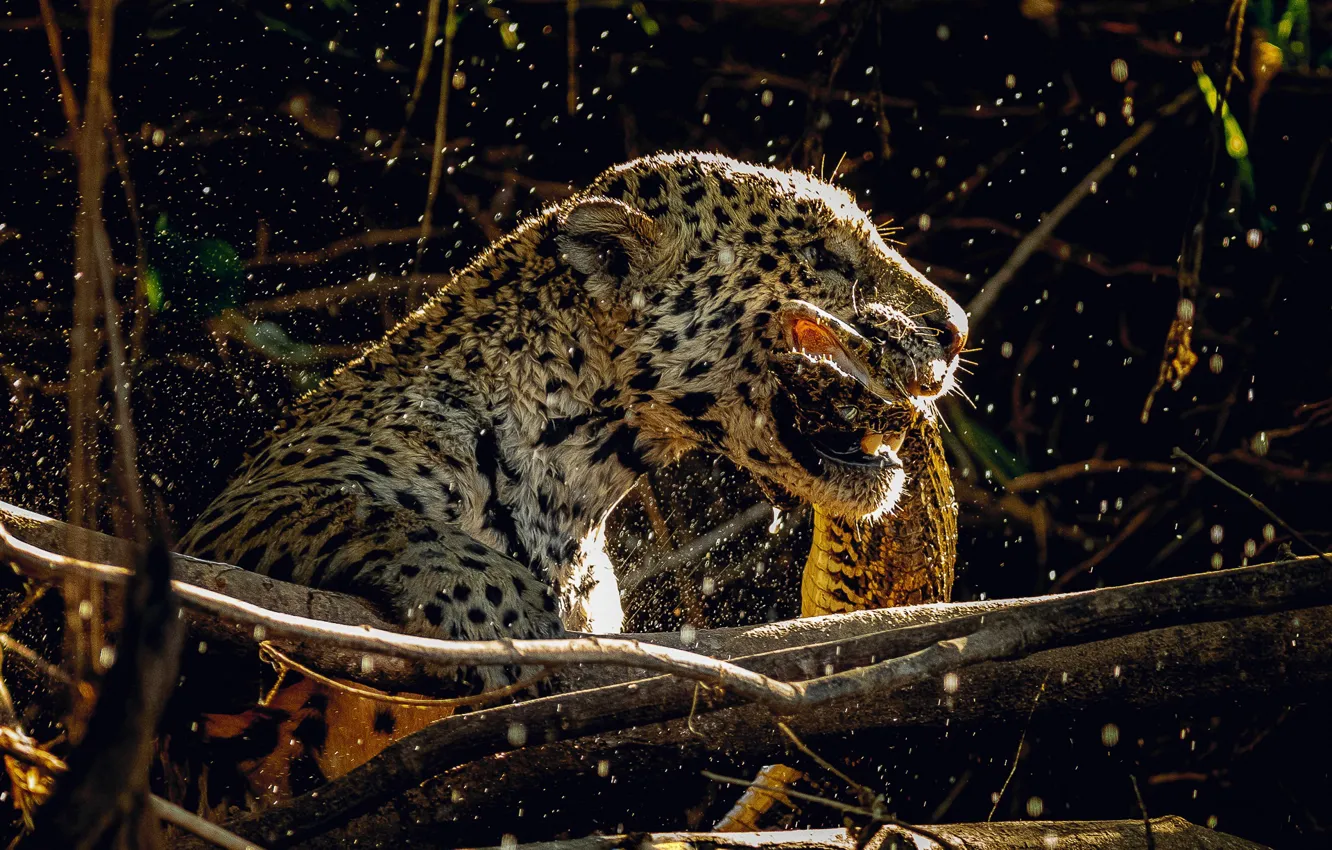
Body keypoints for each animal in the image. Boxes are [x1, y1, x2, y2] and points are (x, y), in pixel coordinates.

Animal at [175, 151, 967, 803]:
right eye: (821, 255)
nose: (957, 330)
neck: (577, 484)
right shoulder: (236, 515)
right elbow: (367, 516)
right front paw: (503, 615)